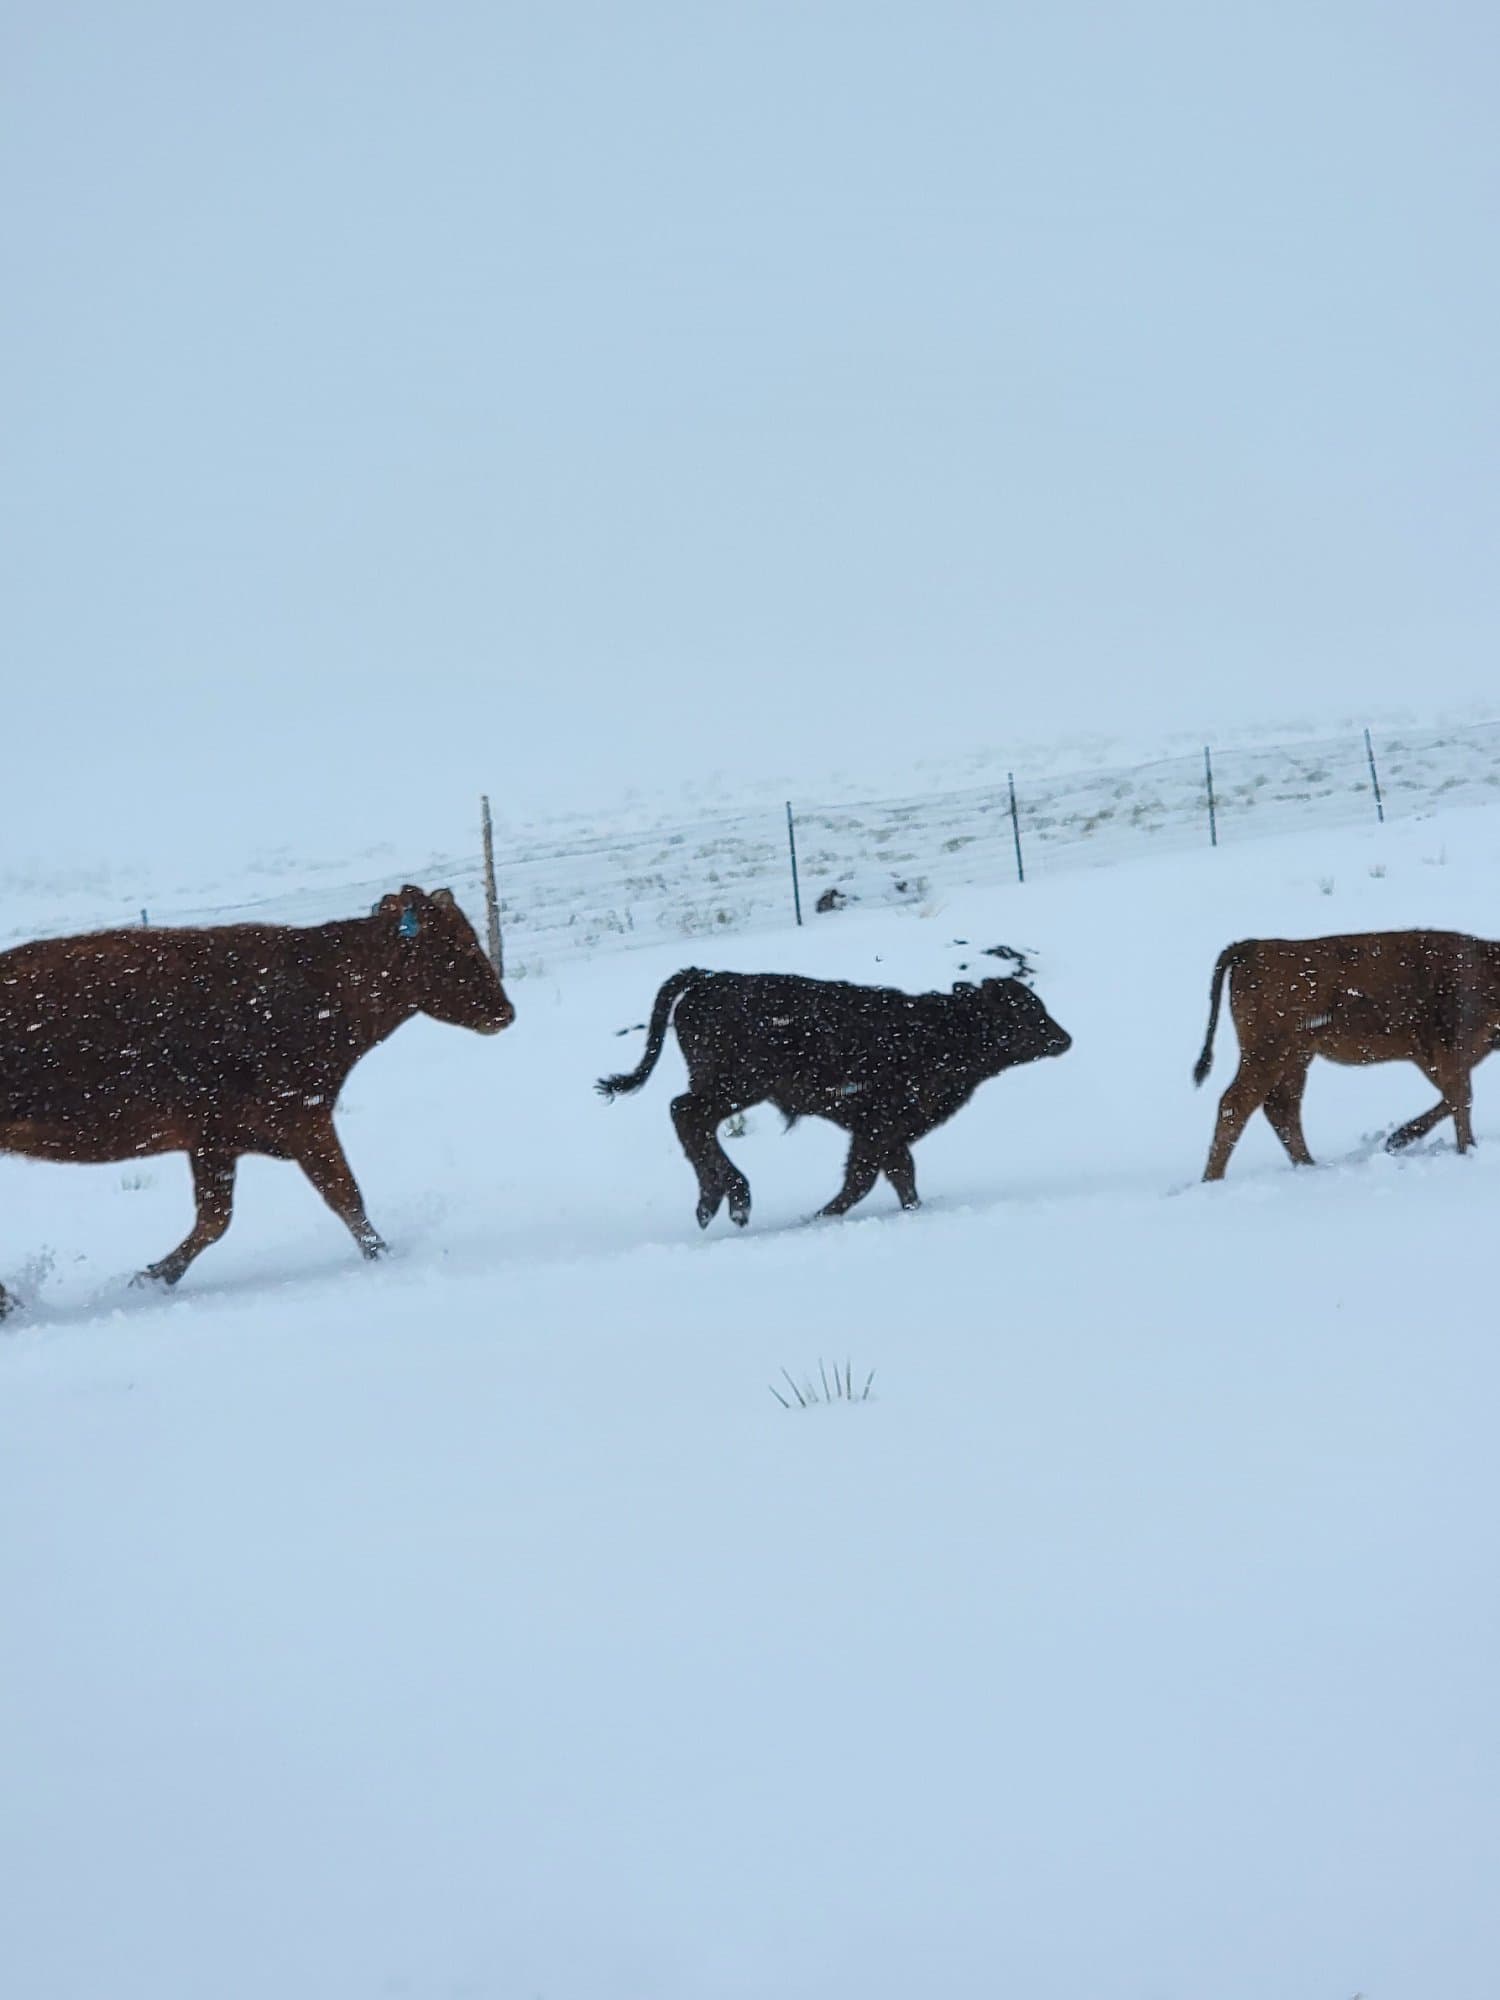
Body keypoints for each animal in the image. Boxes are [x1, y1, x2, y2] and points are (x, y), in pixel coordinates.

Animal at [0, 885, 514, 1316]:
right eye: (455, 944)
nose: (505, 1012)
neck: (317, 988)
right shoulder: (302, 1120)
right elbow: (345, 1196)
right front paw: (382, 1257)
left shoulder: (217, 1141)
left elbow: (215, 1218)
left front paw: (150, 1277)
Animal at [596, 966, 1072, 1227]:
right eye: (1025, 1009)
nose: (1064, 1038)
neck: (942, 1030)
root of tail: (711, 978)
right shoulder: (880, 1126)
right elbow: (864, 1179)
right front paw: (816, 1218)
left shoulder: (883, 1133)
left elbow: (894, 1175)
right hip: (735, 1087)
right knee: (686, 1113)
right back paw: (733, 1202)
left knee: (689, 1119)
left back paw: (712, 1204)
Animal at [1193, 929, 1500, 1181]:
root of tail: (1253, 946)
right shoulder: (1448, 1052)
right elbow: (1461, 1098)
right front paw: (1467, 1150)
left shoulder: (1436, 1058)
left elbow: (1452, 1097)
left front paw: (1397, 1139)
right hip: (1268, 1052)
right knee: (1238, 1103)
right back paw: (1213, 1180)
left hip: (1296, 1057)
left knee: (1281, 1105)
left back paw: (1310, 1167)